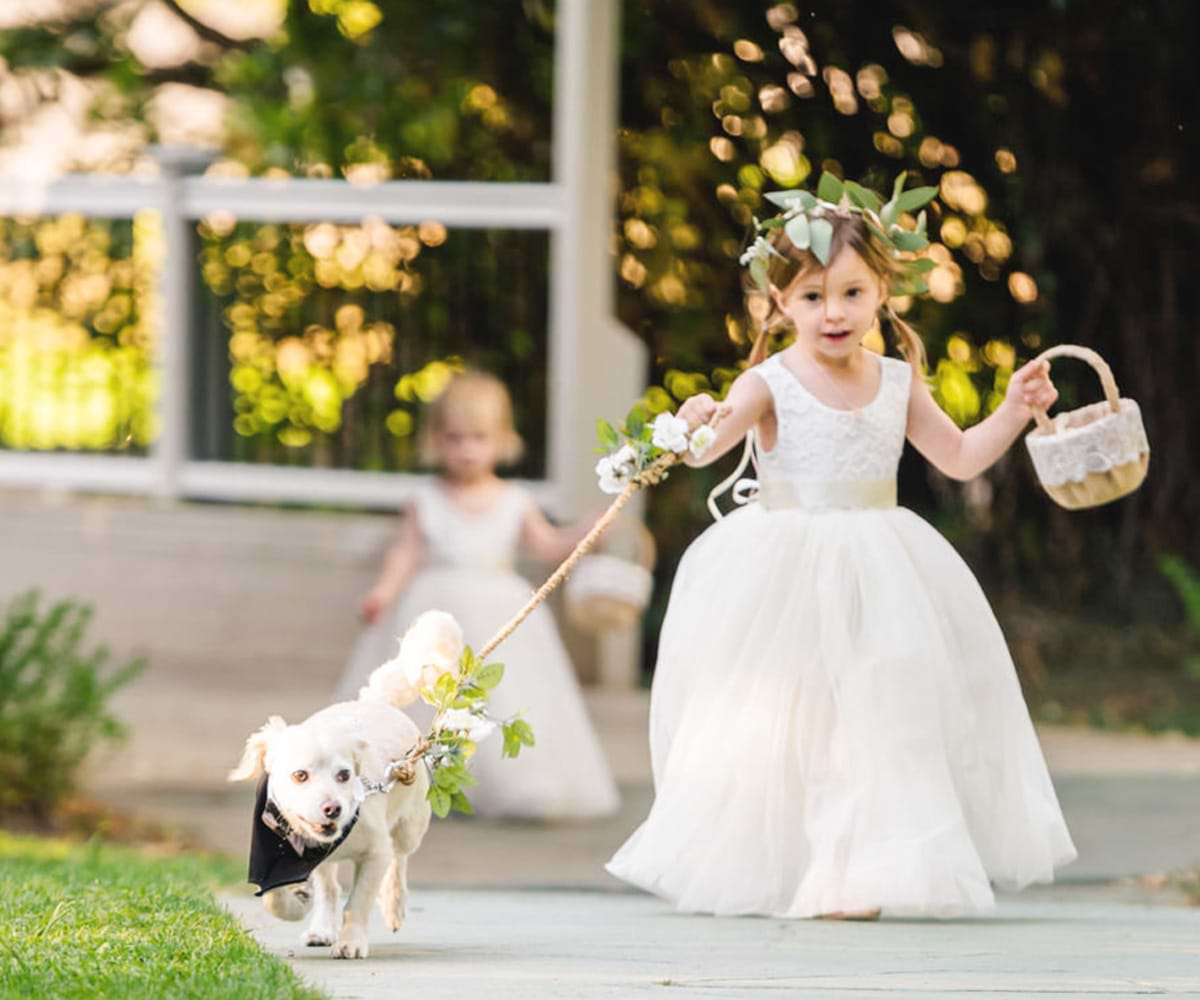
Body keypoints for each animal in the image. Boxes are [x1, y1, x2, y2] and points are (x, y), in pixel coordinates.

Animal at [226, 648, 439, 960]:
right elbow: (273, 896)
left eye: (344, 775)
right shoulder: (275, 857)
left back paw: (394, 903)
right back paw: (322, 929)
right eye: (300, 775)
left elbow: (359, 901)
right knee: (330, 888)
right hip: (327, 863)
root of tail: (377, 703)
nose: (333, 809)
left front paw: (351, 942)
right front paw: (298, 902)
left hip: (410, 827)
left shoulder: (376, 853)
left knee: (399, 859)